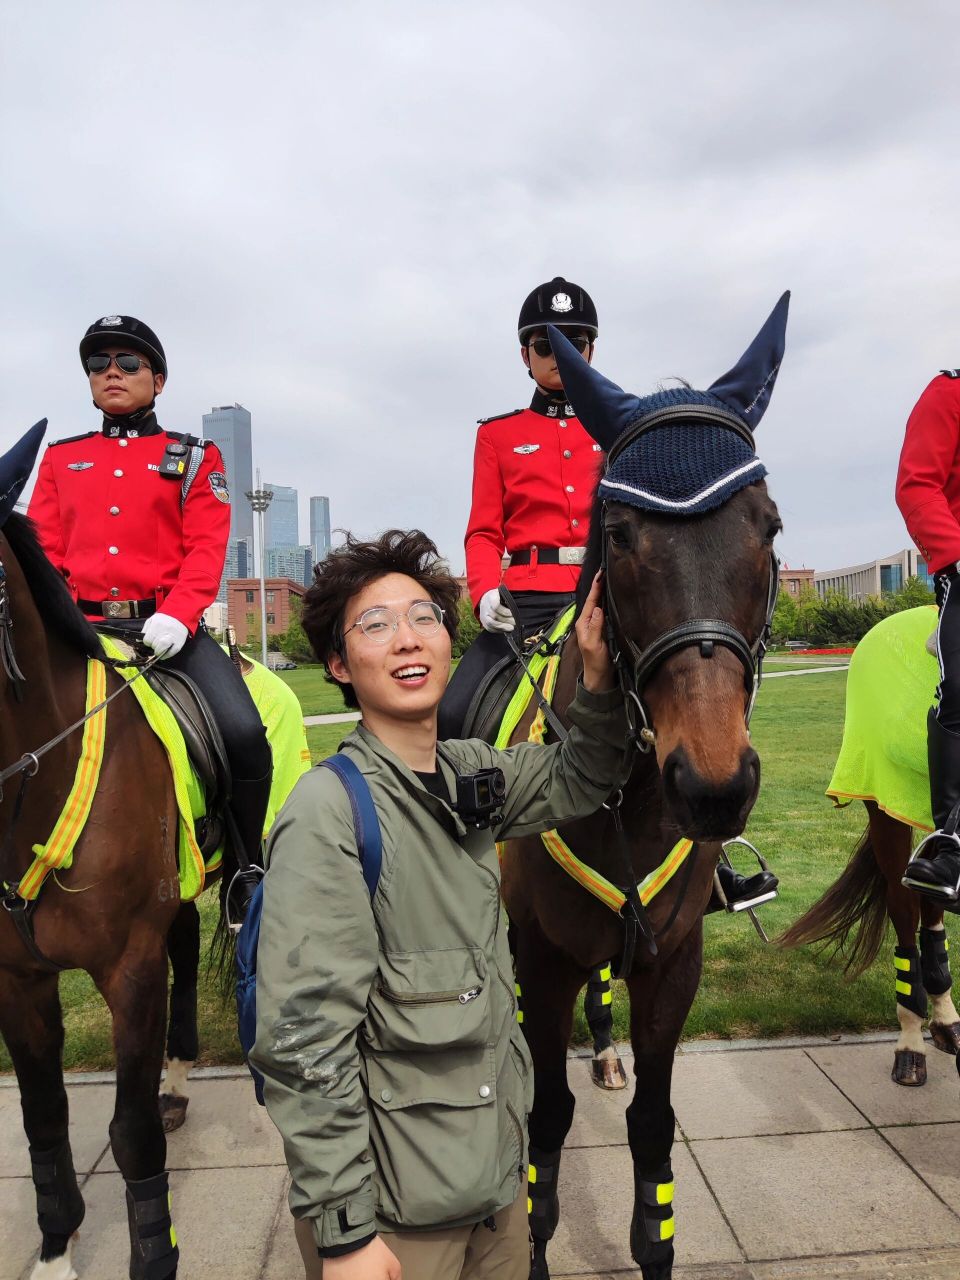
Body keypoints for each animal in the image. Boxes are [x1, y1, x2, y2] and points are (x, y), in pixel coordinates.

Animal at [504, 302, 788, 1280]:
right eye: (623, 535)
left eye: (768, 525)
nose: (712, 784)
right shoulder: (540, 959)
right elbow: (545, 1122)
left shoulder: (675, 964)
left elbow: (654, 1129)